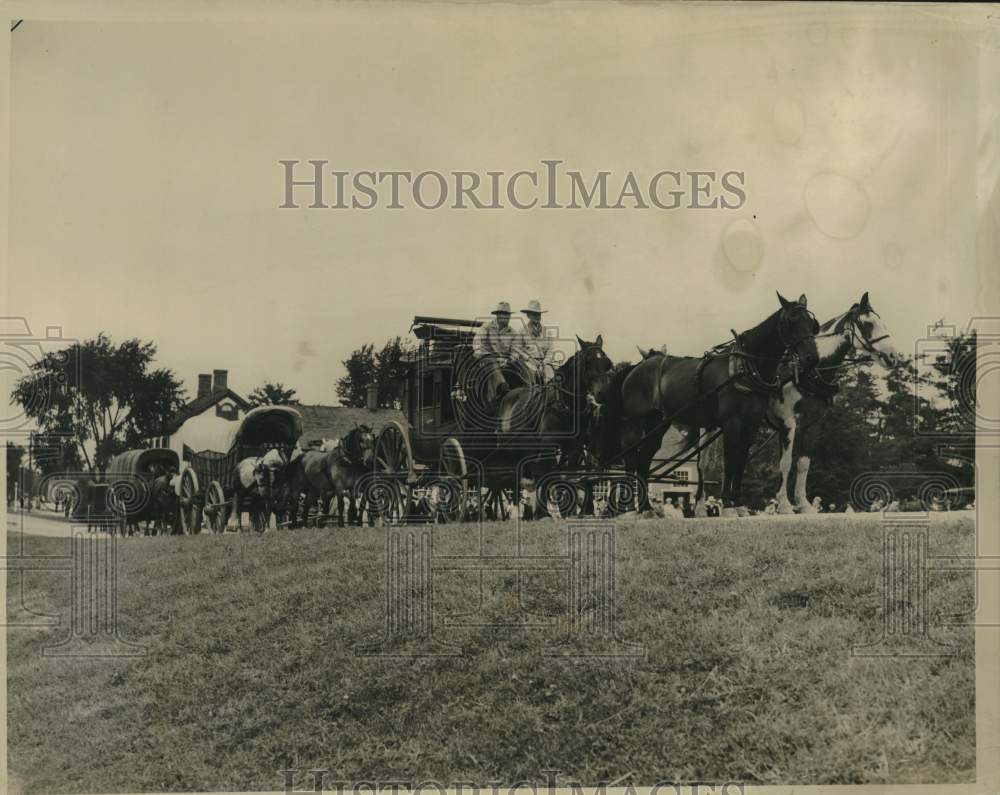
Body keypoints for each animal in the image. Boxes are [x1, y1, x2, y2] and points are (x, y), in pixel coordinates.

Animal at [498, 334, 612, 516]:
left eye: (607, 362)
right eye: (587, 361)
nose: (602, 393)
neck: (565, 405)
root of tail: (509, 394)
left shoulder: (574, 449)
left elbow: (567, 475)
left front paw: (567, 510)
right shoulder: (549, 445)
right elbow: (548, 475)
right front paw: (544, 511)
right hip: (510, 447)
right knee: (515, 473)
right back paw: (516, 510)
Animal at [588, 292, 816, 516]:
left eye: (812, 323)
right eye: (791, 322)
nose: (811, 357)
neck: (744, 368)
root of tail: (635, 368)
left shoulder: (751, 424)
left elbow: (741, 460)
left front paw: (738, 503)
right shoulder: (732, 422)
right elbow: (729, 461)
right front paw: (728, 505)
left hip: (658, 424)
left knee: (644, 458)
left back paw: (646, 508)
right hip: (635, 423)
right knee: (631, 458)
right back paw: (631, 508)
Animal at [764, 292, 900, 516]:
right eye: (868, 324)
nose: (892, 357)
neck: (807, 370)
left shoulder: (812, 423)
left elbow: (803, 463)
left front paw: (803, 504)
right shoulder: (788, 421)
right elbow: (785, 463)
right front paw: (784, 505)